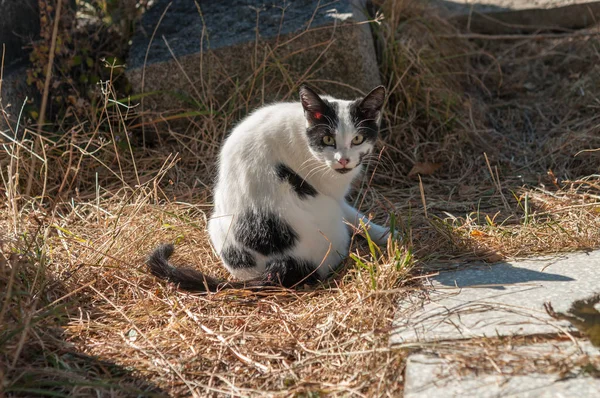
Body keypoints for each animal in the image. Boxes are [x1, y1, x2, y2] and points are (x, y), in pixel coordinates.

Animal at [149, 84, 390, 290]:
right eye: (328, 139)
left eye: (357, 139)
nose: (343, 160)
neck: (303, 129)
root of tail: (281, 264)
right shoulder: (332, 193)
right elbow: (355, 217)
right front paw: (385, 235)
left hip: (214, 222)